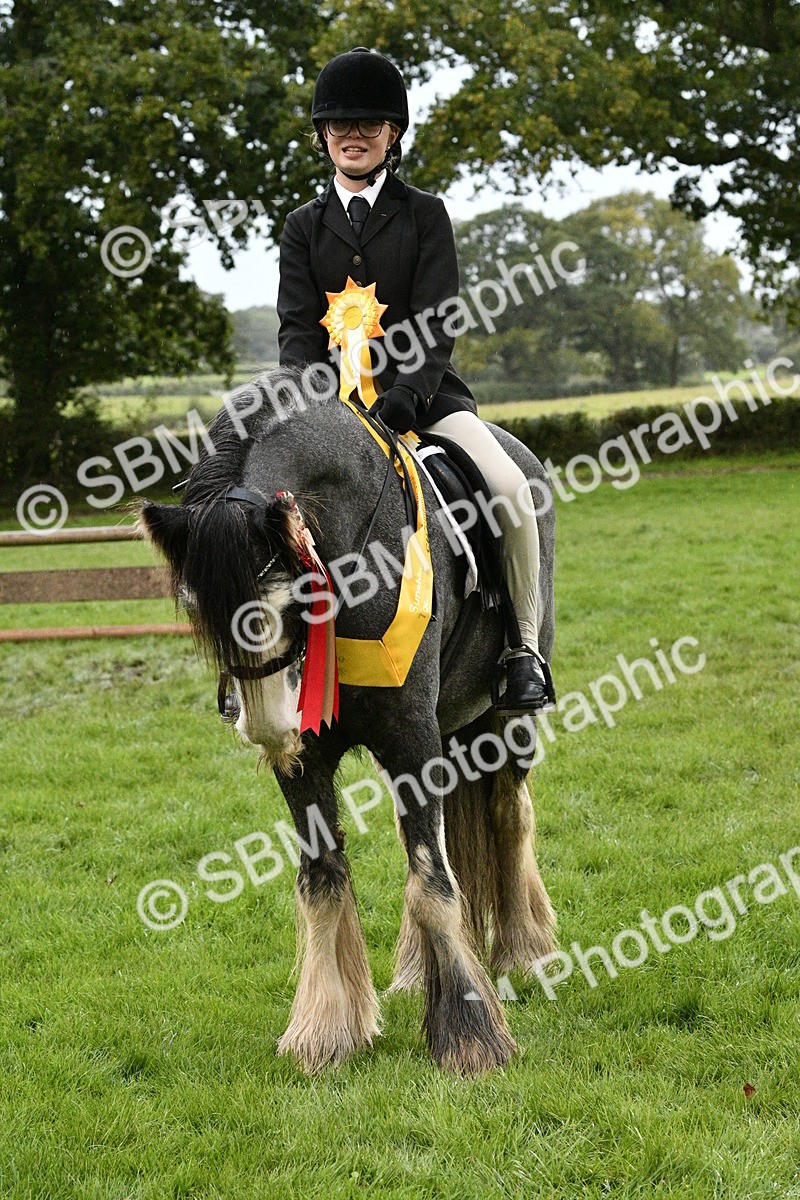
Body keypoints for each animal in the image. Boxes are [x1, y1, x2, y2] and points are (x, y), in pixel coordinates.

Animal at [140, 366, 557, 1075]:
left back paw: (523, 952)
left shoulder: (411, 737)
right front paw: (327, 1029)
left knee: (507, 810)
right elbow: (324, 881)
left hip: (506, 713)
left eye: (291, 596)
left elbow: (431, 882)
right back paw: (420, 970)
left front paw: (469, 1036)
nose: (269, 730)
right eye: (198, 608)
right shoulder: (309, 765)